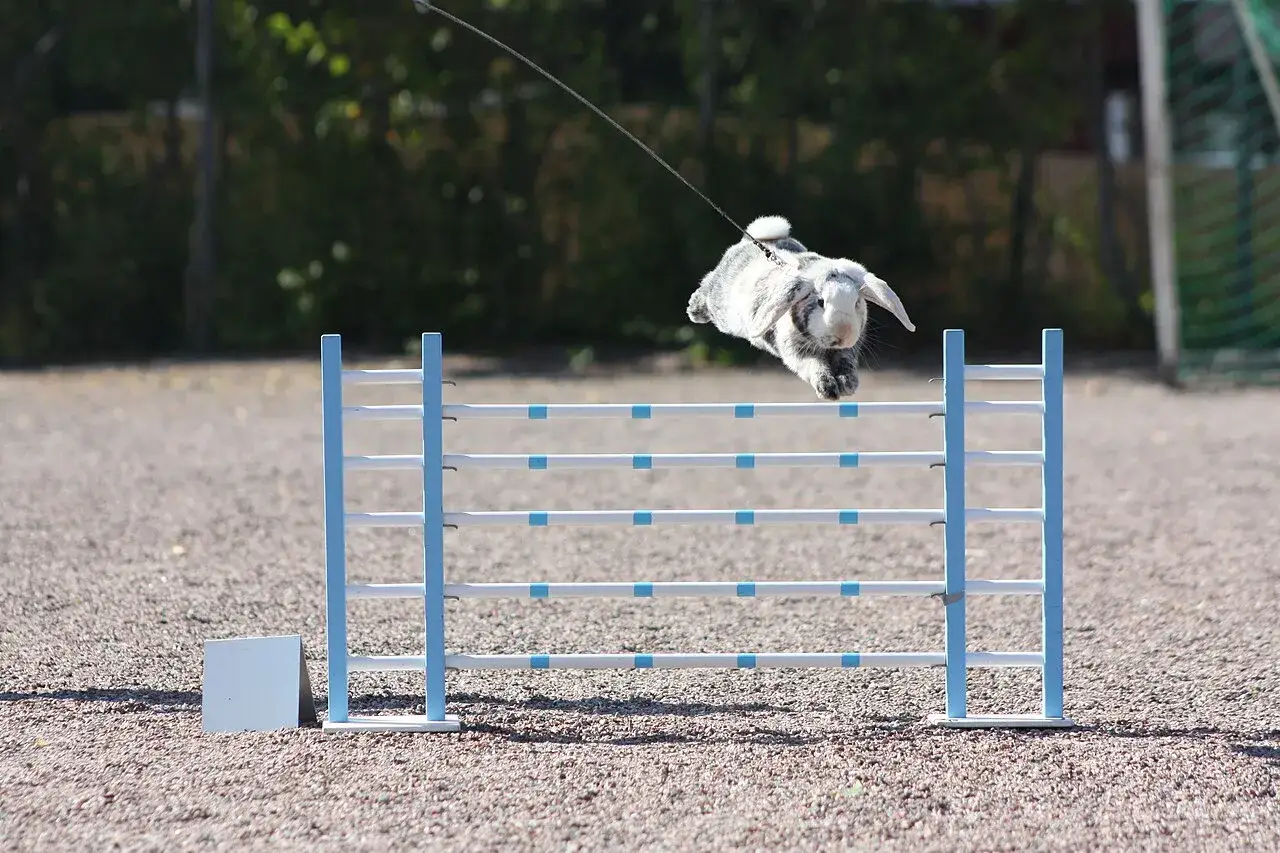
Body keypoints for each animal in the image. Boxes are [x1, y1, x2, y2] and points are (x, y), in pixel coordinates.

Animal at [686, 215, 915, 400]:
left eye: (856, 302)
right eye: (820, 302)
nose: (843, 333)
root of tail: (754, 241)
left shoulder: (847, 352)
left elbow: (846, 365)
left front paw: (848, 385)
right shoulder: (796, 353)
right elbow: (813, 366)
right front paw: (828, 390)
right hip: (721, 306)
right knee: (706, 287)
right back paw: (693, 310)